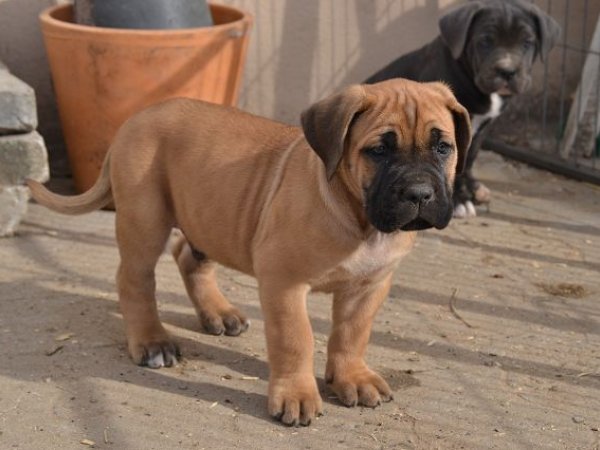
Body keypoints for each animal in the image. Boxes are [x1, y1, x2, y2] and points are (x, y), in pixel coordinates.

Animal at [27, 79, 471, 426]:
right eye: (378, 151)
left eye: (443, 148)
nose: (419, 194)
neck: (360, 219)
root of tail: (136, 119)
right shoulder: (284, 281)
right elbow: (295, 338)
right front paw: (296, 394)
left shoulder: (370, 285)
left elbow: (352, 333)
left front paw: (352, 377)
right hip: (145, 218)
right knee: (134, 279)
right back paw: (153, 342)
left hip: (208, 216)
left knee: (187, 256)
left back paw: (218, 314)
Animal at [365, 0, 560, 217]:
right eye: (485, 41)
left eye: (527, 42)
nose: (506, 71)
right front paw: (459, 200)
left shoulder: (482, 128)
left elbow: (469, 158)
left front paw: (468, 189)